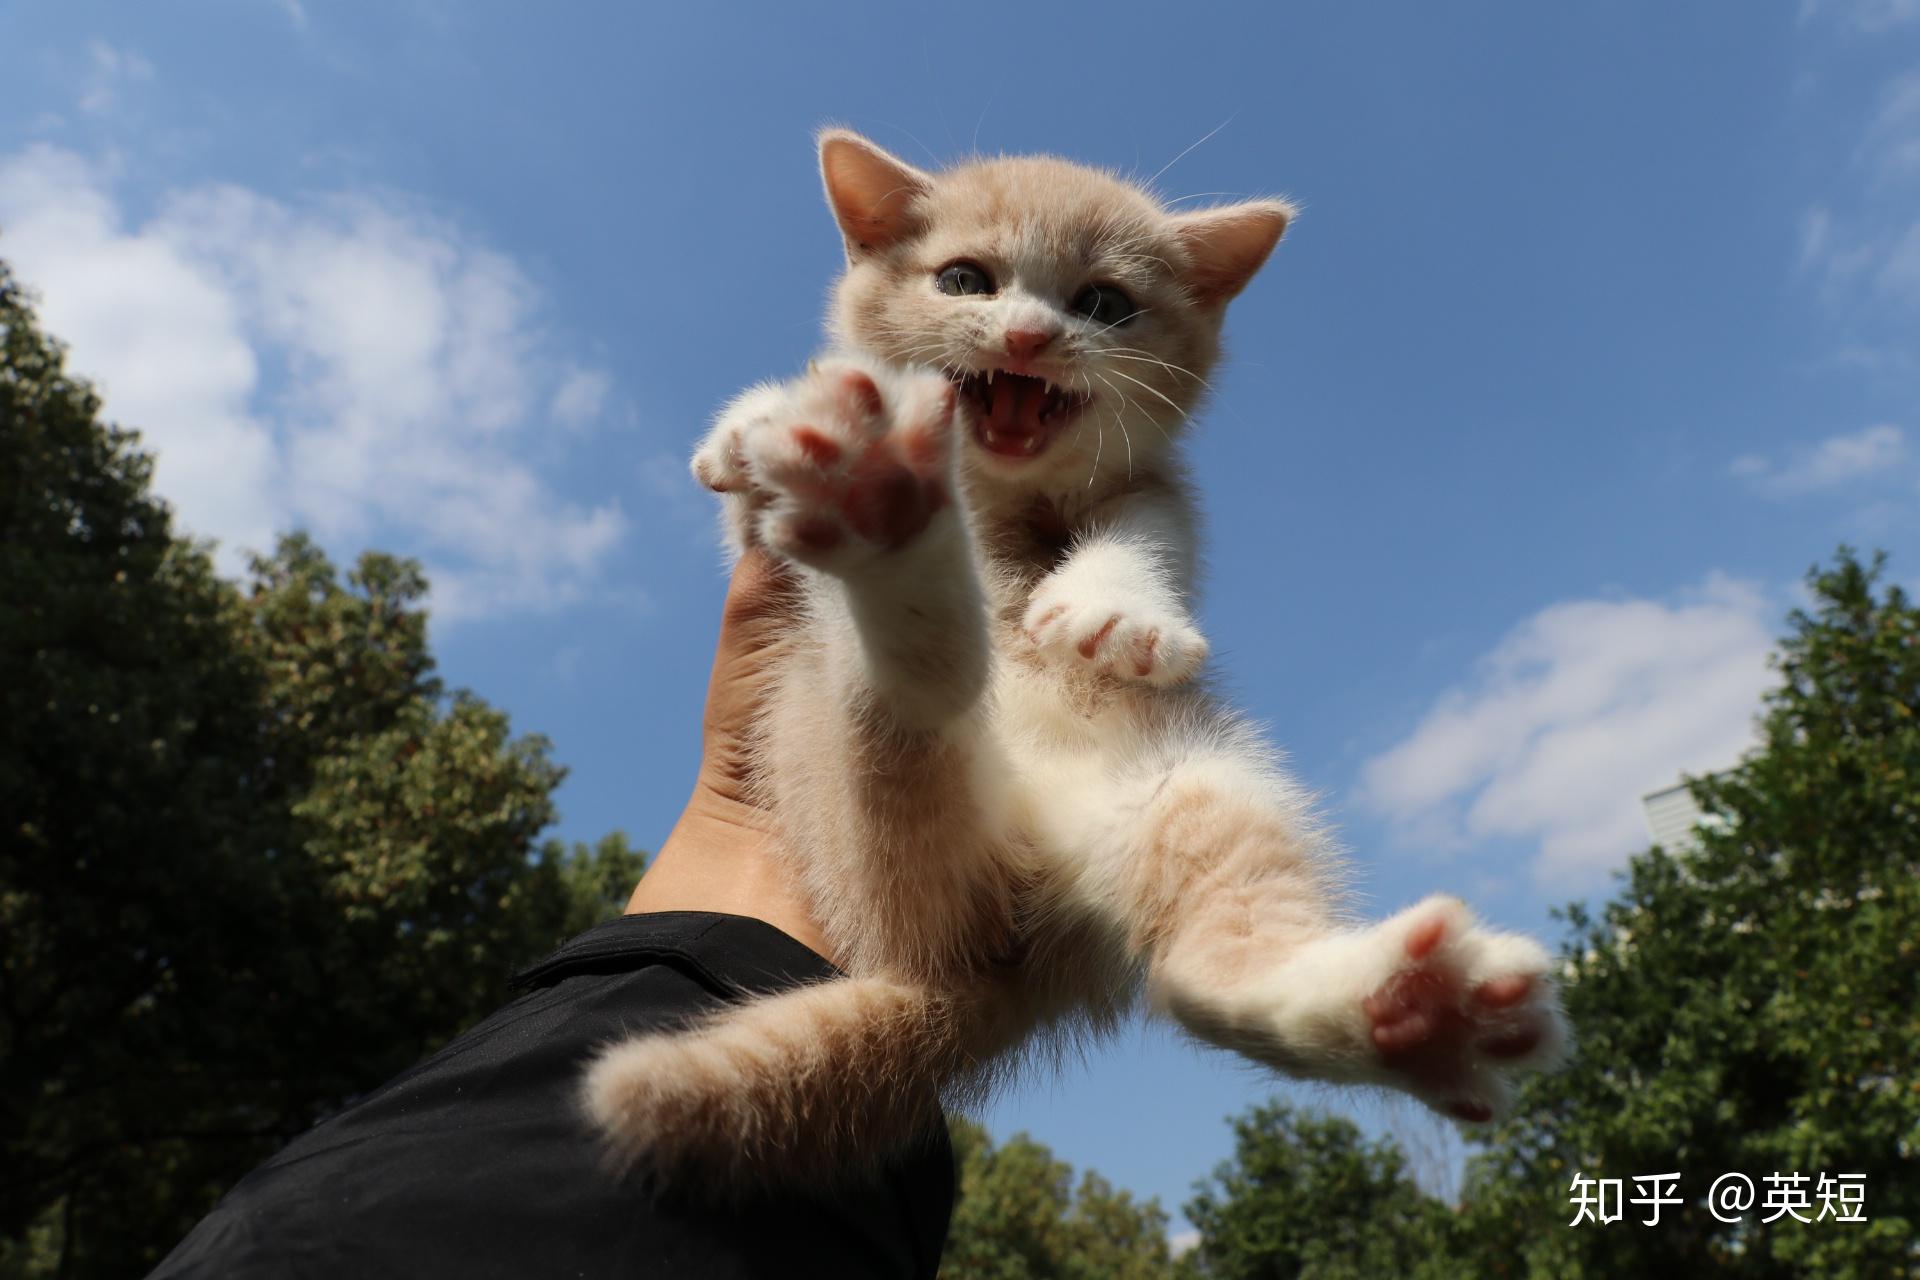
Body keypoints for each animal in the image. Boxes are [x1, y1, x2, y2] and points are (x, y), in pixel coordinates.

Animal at [587, 132, 1574, 1189]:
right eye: (964, 280)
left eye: (1104, 303)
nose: (1026, 336)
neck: (994, 495)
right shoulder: (764, 550)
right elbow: (760, 471)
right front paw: (748, 426)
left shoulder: (1155, 485)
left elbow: (1149, 532)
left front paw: (1113, 611)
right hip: (819, 770)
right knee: (913, 711)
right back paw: (882, 509)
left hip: (1190, 775)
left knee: (1191, 969)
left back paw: (1411, 1012)